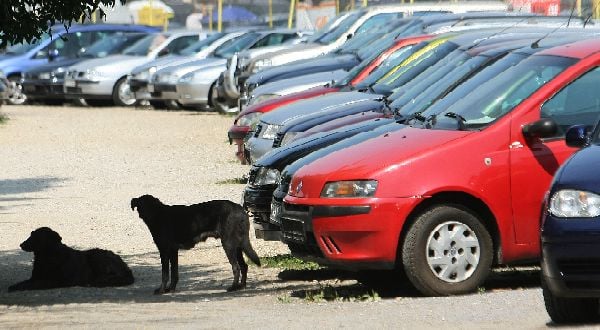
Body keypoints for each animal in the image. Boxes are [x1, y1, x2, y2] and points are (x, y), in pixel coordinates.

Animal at [130, 193, 262, 294]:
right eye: (142, 206)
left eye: (148, 206)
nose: (148, 215)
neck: (158, 215)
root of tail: (240, 210)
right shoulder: (173, 251)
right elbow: (174, 273)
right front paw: (171, 289)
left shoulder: (164, 251)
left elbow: (165, 274)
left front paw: (162, 290)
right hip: (238, 246)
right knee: (244, 266)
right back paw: (241, 286)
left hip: (228, 244)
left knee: (236, 267)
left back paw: (233, 287)